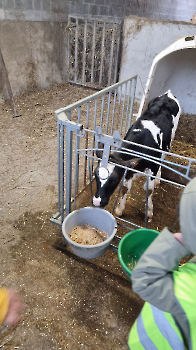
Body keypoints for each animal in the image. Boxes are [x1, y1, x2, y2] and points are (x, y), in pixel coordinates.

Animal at [93, 91, 181, 221]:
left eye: (114, 180)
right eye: (96, 175)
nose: (96, 201)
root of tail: (168, 94)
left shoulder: (153, 167)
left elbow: (149, 189)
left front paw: (149, 211)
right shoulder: (128, 168)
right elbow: (125, 188)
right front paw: (119, 209)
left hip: (171, 136)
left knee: (164, 156)